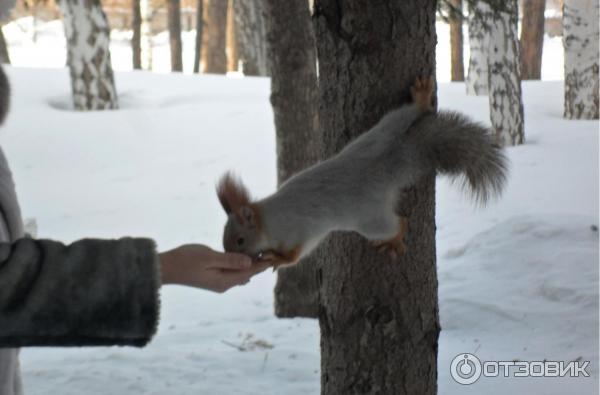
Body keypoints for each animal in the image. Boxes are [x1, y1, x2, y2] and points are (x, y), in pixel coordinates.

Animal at [214, 76, 506, 270]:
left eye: (240, 240)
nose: (229, 256)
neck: (266, 219)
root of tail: (389, 163)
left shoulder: (297, 231)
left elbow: (297, 255)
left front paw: (277, 258)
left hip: (368, 220)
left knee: (397, 223)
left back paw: (395, 238)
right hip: (378, 133)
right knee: (403, 116)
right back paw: (421, 100)